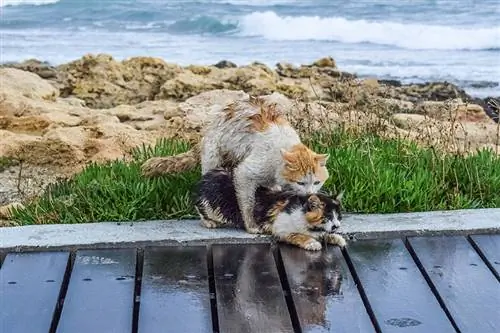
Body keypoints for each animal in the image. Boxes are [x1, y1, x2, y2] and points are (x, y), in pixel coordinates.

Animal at [141, 94, 330, 232]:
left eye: (316, 182)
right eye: (301, 182)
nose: (310, 194)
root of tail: (207, 129)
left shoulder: (271, 181)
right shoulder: (245, 173)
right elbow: (247, 203)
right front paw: (251, 226)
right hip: (213, 161)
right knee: (204, 190)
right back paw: (206, 220)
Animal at [193, 169, 346, 249]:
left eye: (338, 217)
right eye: (327, 217)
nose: (337, 226)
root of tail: (208, 175)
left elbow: (325, 234)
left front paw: (337, 238)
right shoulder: (281, 229)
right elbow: (298, 235)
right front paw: (312, 243)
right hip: (214, 206)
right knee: (200, 208)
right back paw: (209, 222)